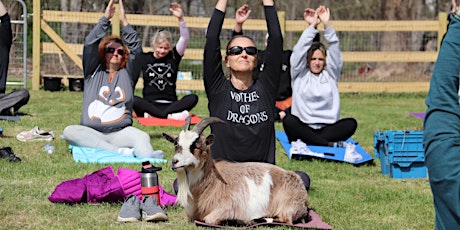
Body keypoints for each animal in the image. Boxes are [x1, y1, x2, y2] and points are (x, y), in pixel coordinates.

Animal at [162, 116, 310, 226]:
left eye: (196, 146)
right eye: (176, 144)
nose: (174, 161)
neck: (212, 183)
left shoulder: (229, 206)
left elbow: (208, 219)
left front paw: (234, 220)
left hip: (288, 204)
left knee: (285, 219)